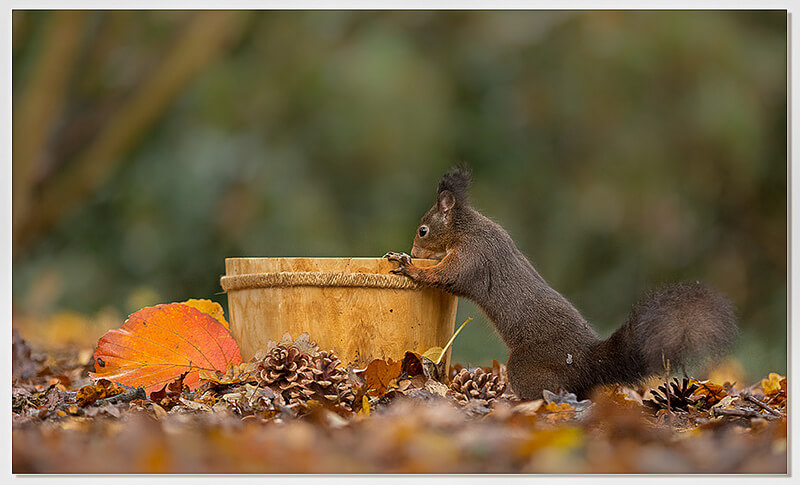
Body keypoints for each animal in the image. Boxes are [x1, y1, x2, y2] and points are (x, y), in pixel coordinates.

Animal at [385, 166, 737, 399]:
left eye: (423, 231)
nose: (414, 252)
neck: (467, 227)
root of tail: (587, 361)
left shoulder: (472, 256)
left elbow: (447, 277)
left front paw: (408, 266)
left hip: (530, 365)